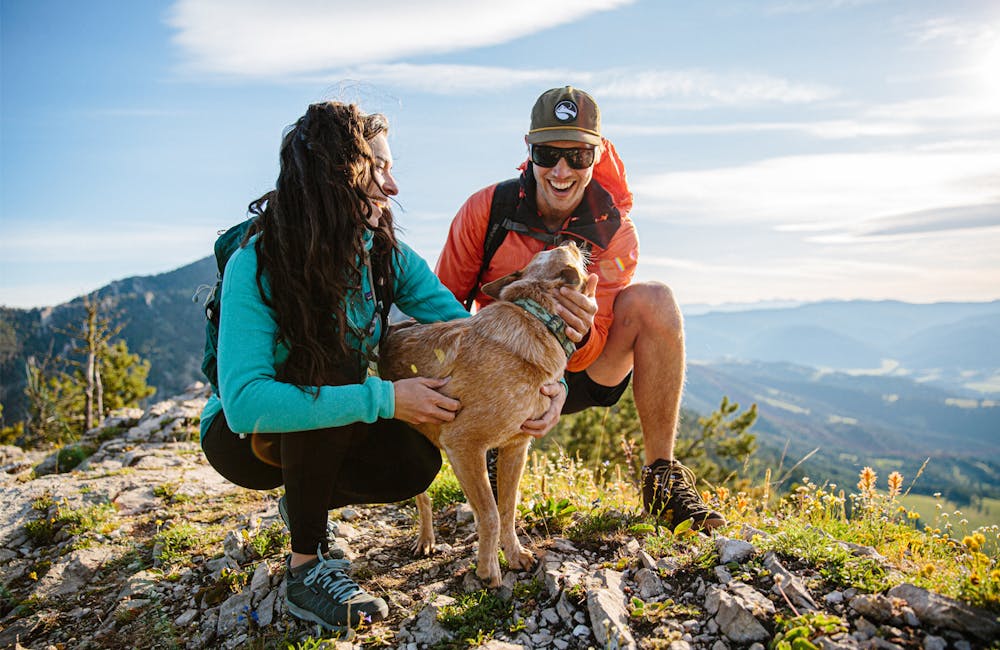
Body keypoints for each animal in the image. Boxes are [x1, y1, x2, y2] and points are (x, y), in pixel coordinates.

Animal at [378, 240, 588, 584]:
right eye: (562, 252)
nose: (573, 242)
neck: (538, 318)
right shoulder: (464, 445)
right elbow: (490, 514)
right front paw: (488, 570)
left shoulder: (515, 448)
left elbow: (507, 509)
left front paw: (514, 555)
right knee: (423, 496)